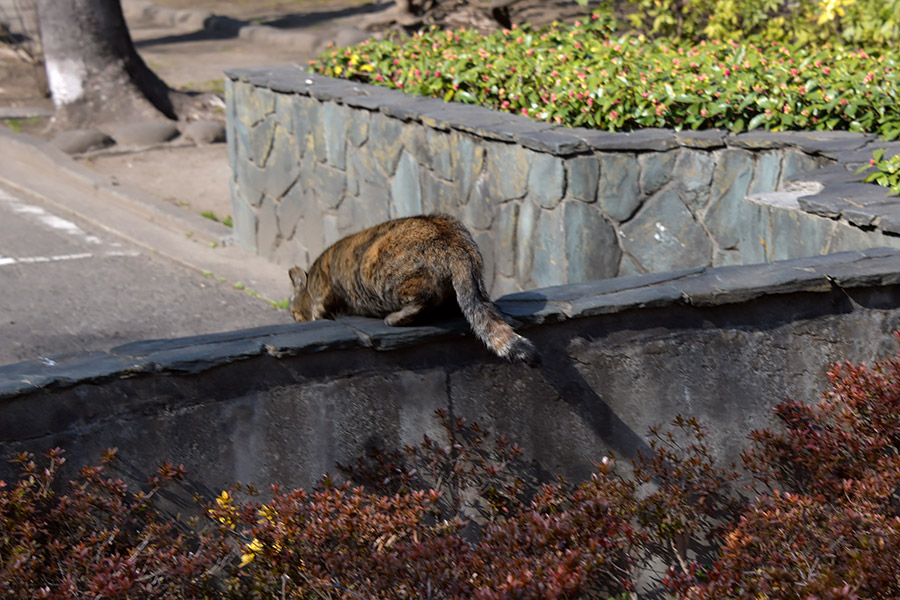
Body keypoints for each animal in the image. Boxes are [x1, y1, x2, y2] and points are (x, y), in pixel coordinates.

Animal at [290, 216, 540, 366]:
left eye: (292, 312)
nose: (294, 318)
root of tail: (455, 240)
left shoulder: (324, 293)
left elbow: (320, 308)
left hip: (383, 276)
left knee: (424, 298)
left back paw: (394, 317)